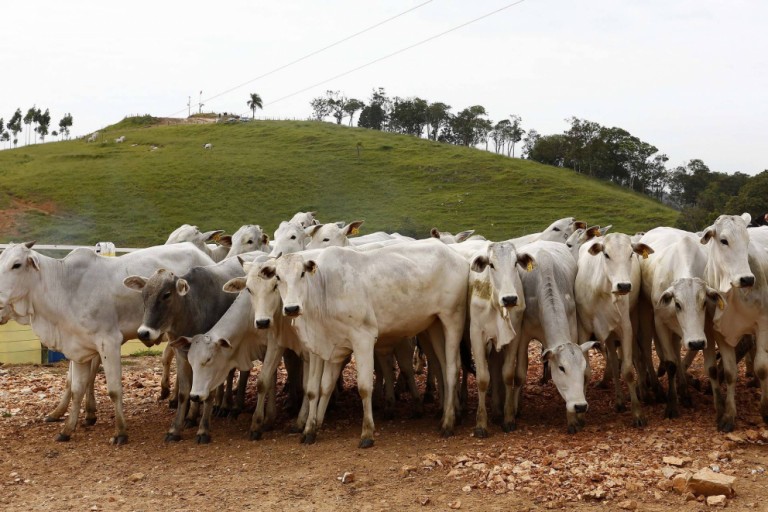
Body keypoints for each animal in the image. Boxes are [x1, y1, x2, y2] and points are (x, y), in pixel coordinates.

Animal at [0, 242, 213, 442]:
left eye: (16, 264)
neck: (66, 288)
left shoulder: (108, 342)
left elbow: (113, 390)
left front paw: (120, 432)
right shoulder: (79, 349)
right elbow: (76, 387)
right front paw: (67, 428)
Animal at [576, 234, 656, 426]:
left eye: (631, 254)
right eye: (606, 254)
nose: (624, 286)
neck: (603, 290)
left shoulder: (625, 328)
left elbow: (628, 371)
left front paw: (637, 413)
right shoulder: (583, 330)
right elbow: (586, 371)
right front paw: (580, 415)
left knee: (632, 357)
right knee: (613, 362)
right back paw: (619, 401)